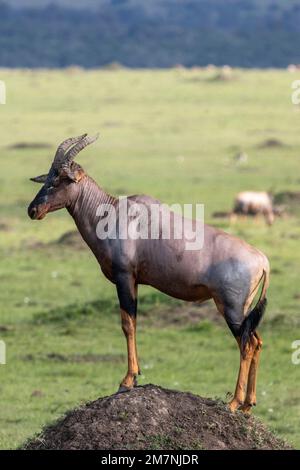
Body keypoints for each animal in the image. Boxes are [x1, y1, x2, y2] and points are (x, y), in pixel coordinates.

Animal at [28, 134, 270, 414]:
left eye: (60, 179)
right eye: (47, 177)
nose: (33, 210)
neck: (115, 213)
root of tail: (262, 260)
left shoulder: (125, 277)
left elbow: (127, 324)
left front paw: (127, 380)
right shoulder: (134, 280)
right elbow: (132, 323)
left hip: (231, 309)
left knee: (246, 344)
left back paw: (233, 403)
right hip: (244, 310)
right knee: (257, 341)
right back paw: (248, 405)